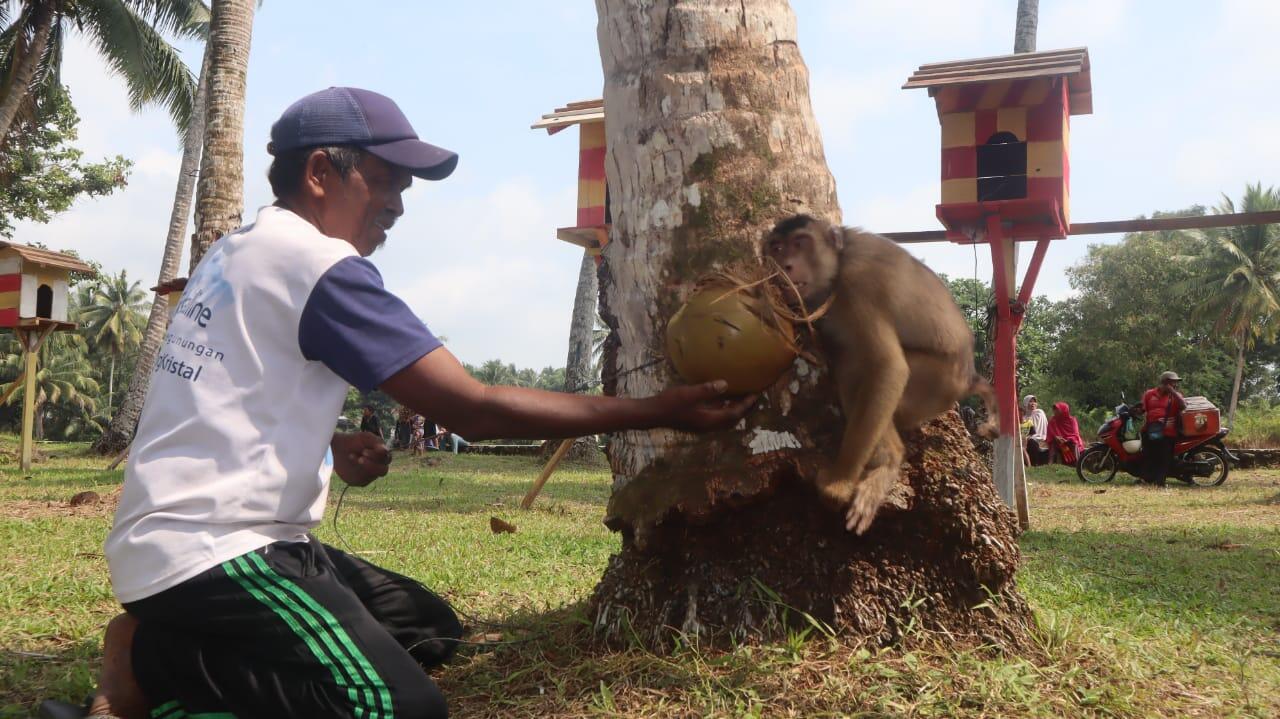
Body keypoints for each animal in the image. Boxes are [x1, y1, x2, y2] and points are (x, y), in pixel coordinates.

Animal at [757, 212, 998, 532]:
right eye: (778, 247)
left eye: (800, 243)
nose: (786, 265)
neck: (838, 267)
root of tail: (969, 375)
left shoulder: (858, 283)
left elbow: (888, 366)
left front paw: (840, 483)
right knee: (849, 360)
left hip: (936, 383)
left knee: (861, 363)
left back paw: (888, 461)